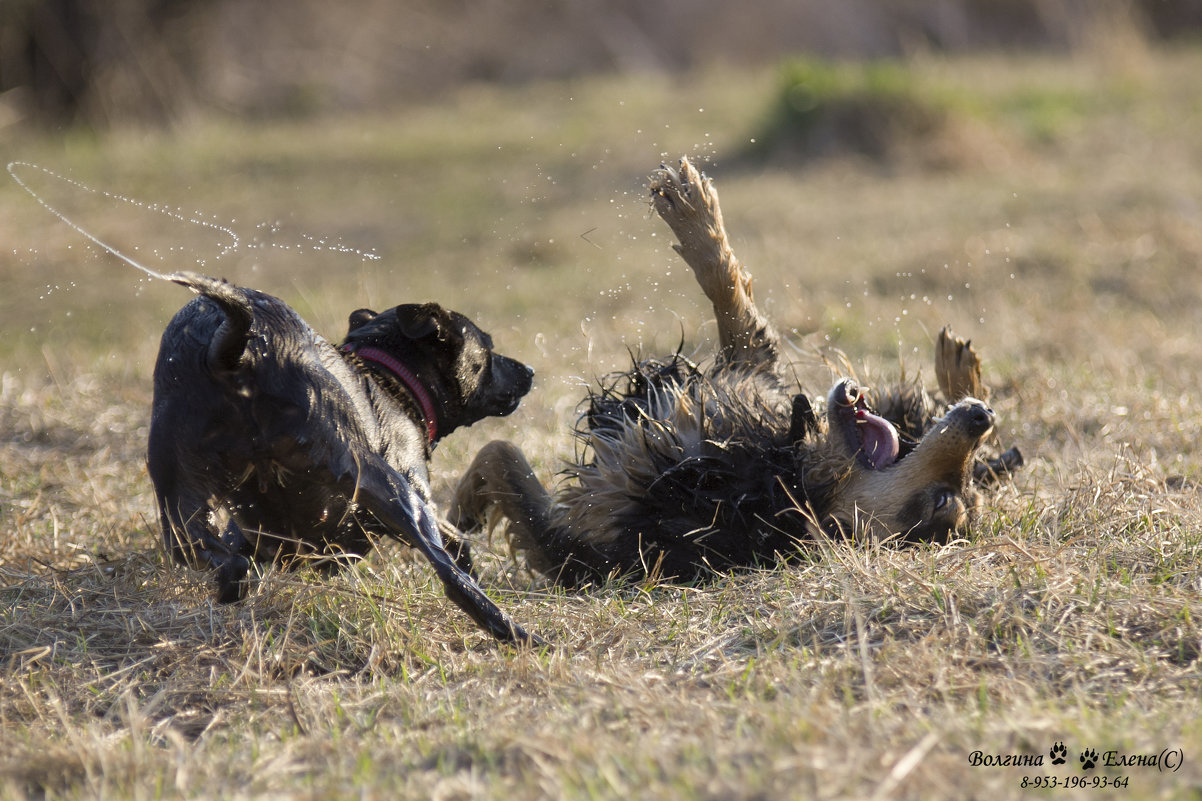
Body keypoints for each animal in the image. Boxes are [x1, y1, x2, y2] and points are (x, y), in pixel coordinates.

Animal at [146, 271, 536, 639]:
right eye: (488, 350)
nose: (529, 370)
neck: (393, 381)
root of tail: (236, 350)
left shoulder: (248, 531)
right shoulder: (416, 491)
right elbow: (456, 544)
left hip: (178, 487)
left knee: (211, 555)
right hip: (375, 477)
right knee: (451, 577)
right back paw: (516, 633)